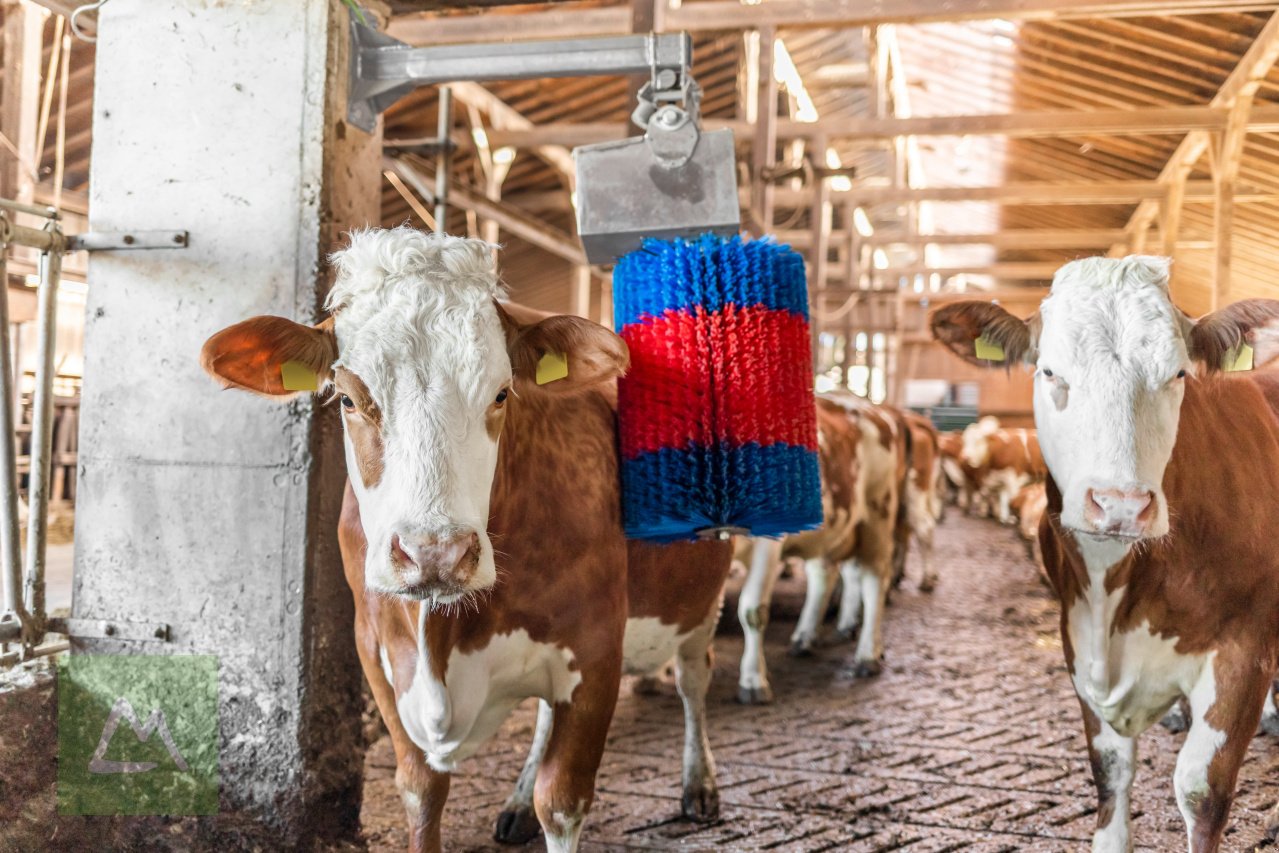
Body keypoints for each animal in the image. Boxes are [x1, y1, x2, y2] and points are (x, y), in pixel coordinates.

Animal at [204, 228, 736, 853]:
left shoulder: (597, 651)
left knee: (694, 678)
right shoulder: (374, 650)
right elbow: (421, 790)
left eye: (502, 394)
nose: (435, 554)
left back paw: (699, 783)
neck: (442, 640)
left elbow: (562, 801)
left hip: (704, 597)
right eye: (349, 399)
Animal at [736, 393, 905, 700]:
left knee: (874, 579)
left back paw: (867, 655)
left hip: (878, 512)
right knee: (823, 576)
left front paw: (752, 680)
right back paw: (804, 638)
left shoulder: (768, 540)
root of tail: (870, 407)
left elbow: (753, 610)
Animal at [931, 255, 1279, 853]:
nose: (1121, 504)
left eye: (1179, 374)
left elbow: (1200, 790)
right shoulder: (1076, 641)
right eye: (1049, 371)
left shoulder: (1245, 649)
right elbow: (1110, 772)